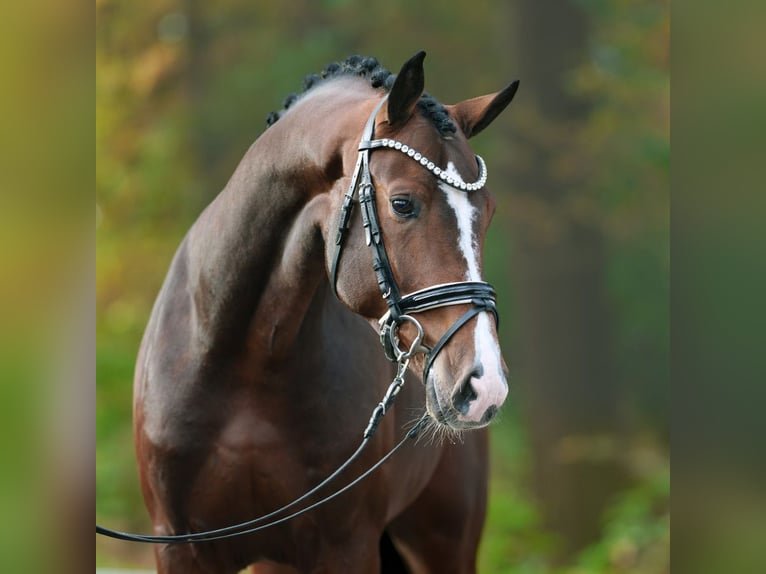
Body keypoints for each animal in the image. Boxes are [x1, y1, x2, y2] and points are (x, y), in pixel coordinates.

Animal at [135, 51, 520, 572]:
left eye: (489, 211)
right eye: (403, 203)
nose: (484, 384)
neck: (247, 363)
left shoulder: (347, 545)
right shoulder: (181, 548)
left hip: (444, 542)